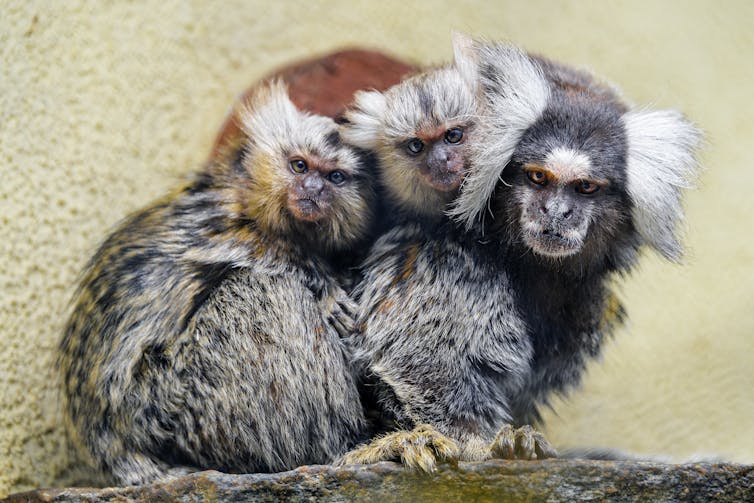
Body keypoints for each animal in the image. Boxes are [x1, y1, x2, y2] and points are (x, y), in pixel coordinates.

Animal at [58, 80, 374, 486]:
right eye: (299, 165)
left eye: (335, 177)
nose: (312, 189)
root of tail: (109, 444)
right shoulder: (219, 215)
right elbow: (254, 250)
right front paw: (324, 285)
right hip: (171, 403)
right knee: (266, 291)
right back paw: (337, 450)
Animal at [340, 39, 700, 472]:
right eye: (537, 178)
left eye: (585, 187)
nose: (556, 213)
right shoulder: (442, 259)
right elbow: (423, 360)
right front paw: (479, 446)